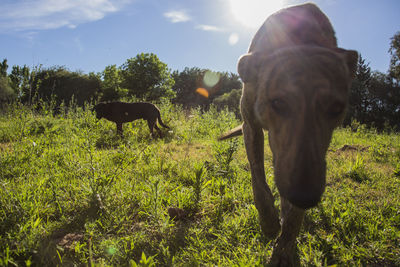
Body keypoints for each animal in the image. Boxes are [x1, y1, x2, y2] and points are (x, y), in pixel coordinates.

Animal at [220, 3, 358, 266]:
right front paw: (268, 222)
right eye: (278, 103)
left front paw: (284, 248)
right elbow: (258, 182)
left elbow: (294, 216)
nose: (304, 196)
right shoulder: (250, 125)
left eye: (336, 109)